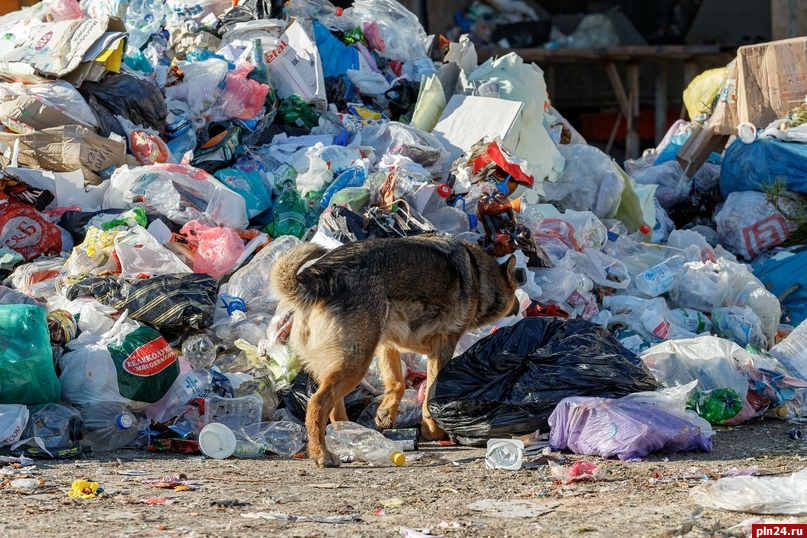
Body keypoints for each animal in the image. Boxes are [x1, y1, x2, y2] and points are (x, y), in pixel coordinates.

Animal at [272, 234, 524, 464]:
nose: (520, 304)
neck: (477, 274)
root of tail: (317, 277)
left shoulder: (387, 345)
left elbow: (397, 384)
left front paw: (386, 415)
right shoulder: (442, 347)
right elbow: (430, 394)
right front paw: (434, 431)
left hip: (346, 362)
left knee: (334, 406)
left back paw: (349, 432)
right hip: (356, 363)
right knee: (317, 403)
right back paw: (321, 453)